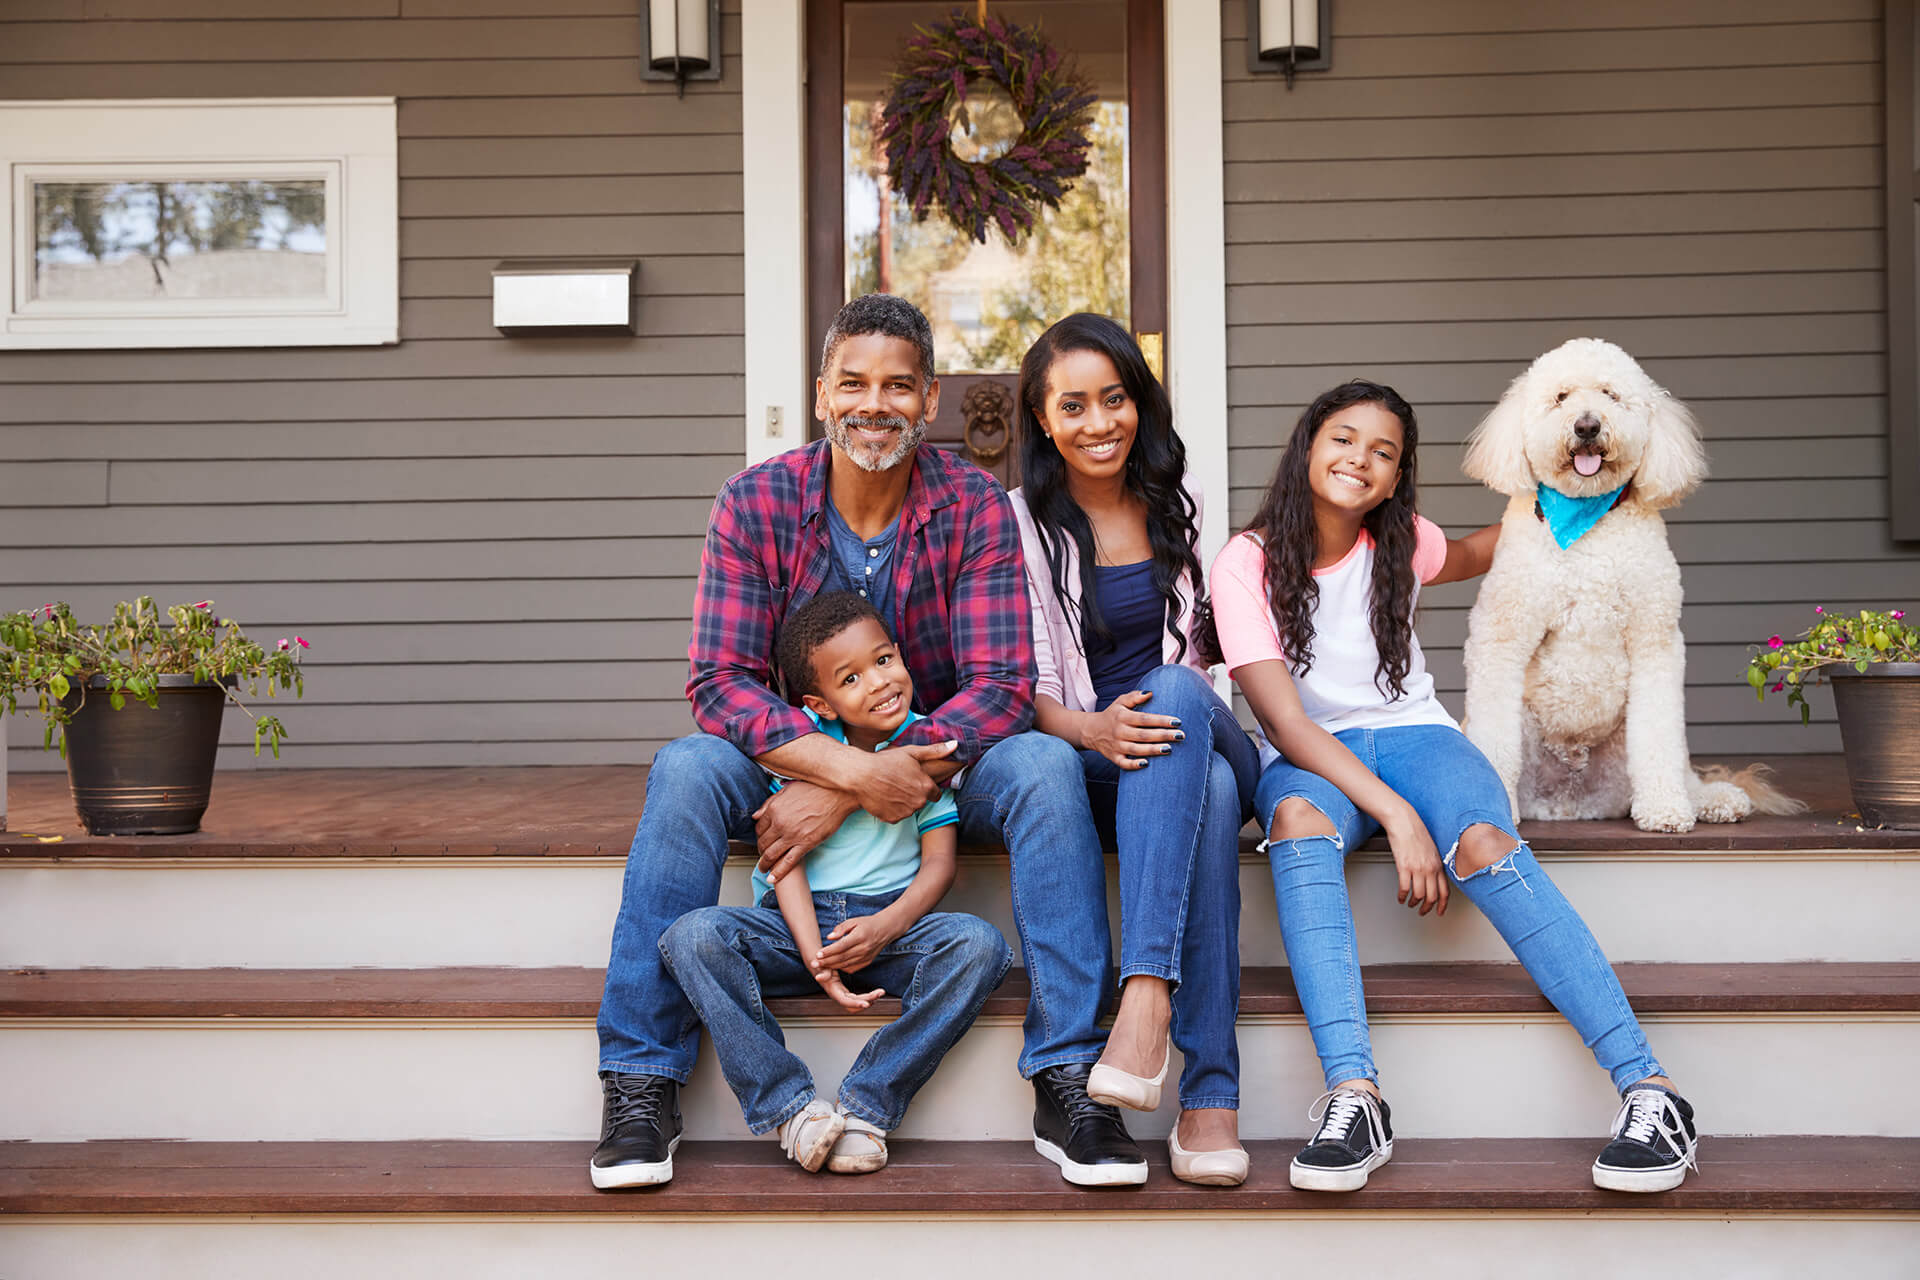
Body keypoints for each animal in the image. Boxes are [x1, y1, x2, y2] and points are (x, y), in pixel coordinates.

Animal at [1466, 337, 1797, 832]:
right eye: (1561, 397)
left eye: (1611, 395)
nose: (1587, 425)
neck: (1585, 523)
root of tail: (1571, 802)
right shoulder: (1501, 637)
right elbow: (1491, 739)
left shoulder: (1654, 639)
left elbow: (1660, 737)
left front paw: (1665, 810)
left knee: (1678, 764)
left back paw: (1710, 799)